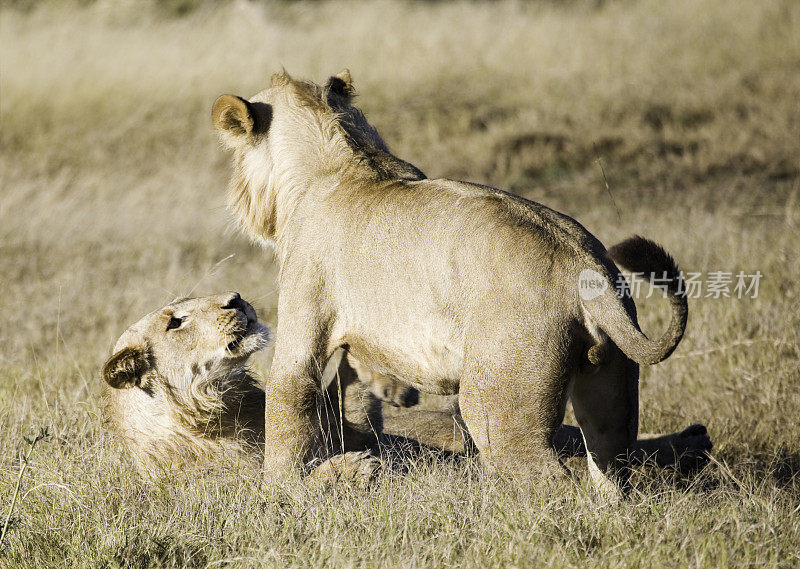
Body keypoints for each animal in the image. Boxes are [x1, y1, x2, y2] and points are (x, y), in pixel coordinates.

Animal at [101, 296, 712, 478]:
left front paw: (379, 379)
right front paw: (357, 470)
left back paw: (693, 439)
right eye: (175, 321)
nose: (235, 300)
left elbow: (351, 401)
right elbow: (309, 480)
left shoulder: (346, 422)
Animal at [216, 71, 696, 496]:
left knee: (549, 481)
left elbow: (288, 404)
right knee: (612, 469)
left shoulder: (304, 312)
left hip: (497, 403)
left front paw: (278, 494)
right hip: (609, 389)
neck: (341, 158)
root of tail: (583, 265)